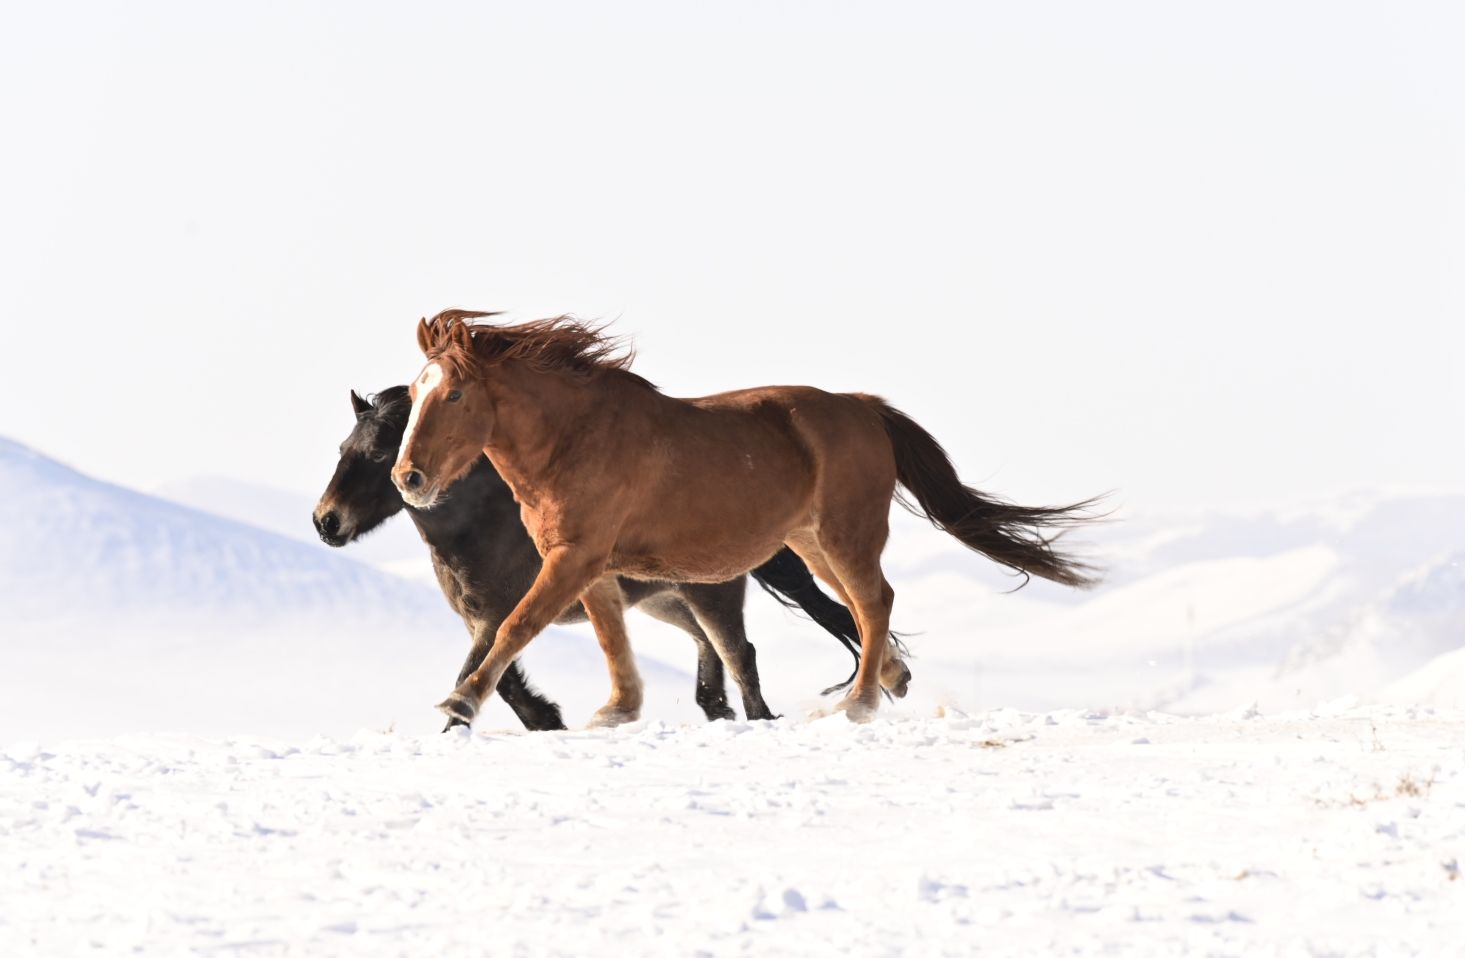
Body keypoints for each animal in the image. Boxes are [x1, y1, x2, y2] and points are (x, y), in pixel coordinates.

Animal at [314, 386, 861, 732]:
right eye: (343, 448)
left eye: (380, 455)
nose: (325, 522)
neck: (482, 524)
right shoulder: (479, 618)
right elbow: (502, 678)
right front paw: (545, 719)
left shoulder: (496, 615)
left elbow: (480, 672)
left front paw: (490, 721)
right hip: (664, 600)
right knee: (712, 646)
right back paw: (717, 709)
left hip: (706, 591)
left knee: (740, 649)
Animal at [389, 312, 1101, 723]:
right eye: (417, 394)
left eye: (454, 394)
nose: (408, 479)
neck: (575, 439)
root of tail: (862, 407)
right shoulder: (589, 566)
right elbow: (611, 640)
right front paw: (618, 710)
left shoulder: (574, 559)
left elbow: (517, 627)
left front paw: (462, 702)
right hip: (811, 544)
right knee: (864, 607)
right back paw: (891, 678)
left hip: (845, 535)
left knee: (873, 603)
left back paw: (860, 703)